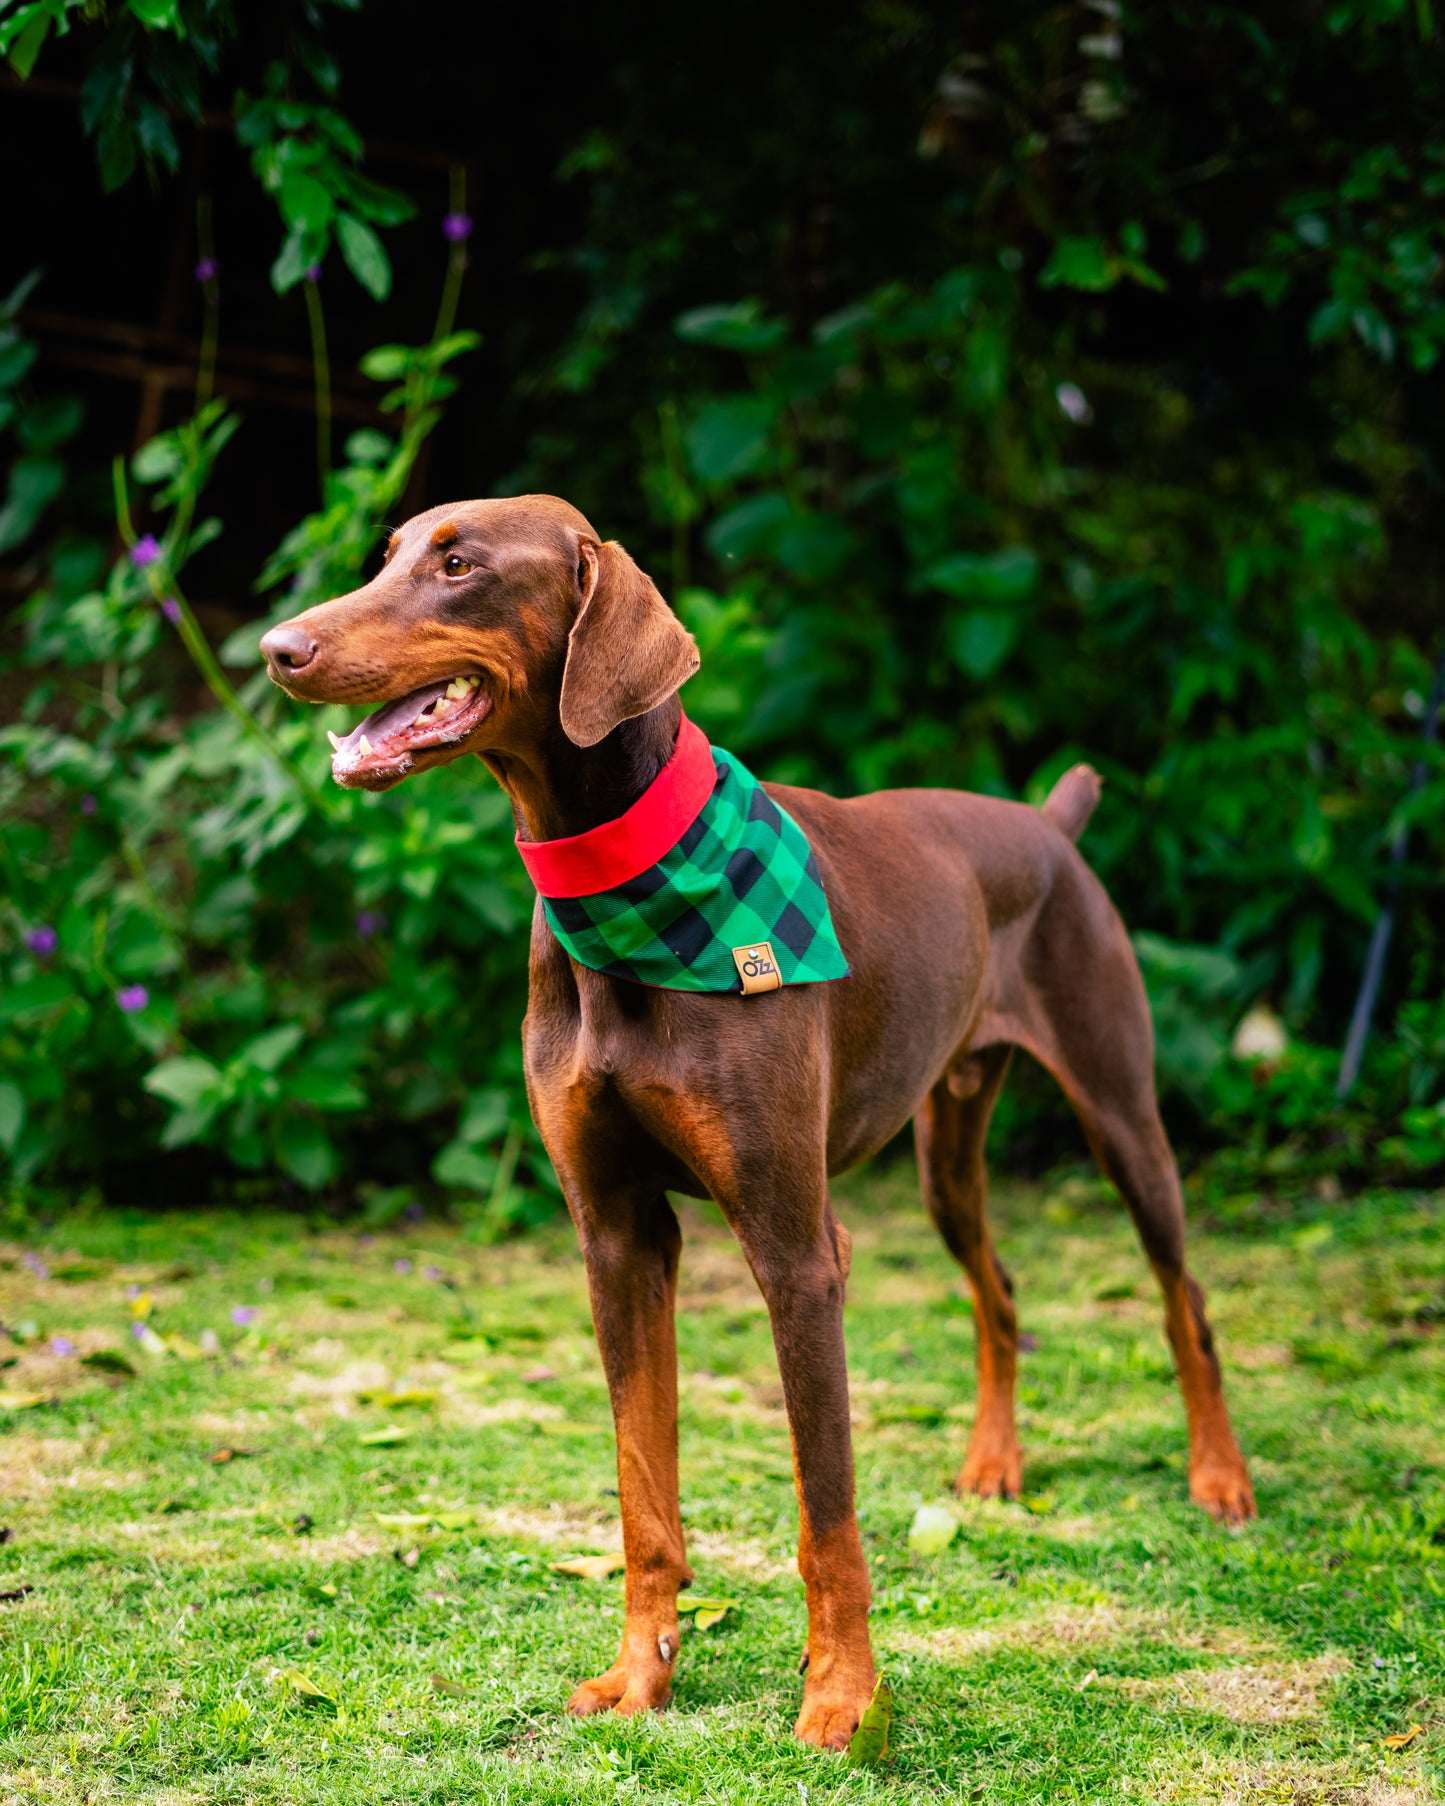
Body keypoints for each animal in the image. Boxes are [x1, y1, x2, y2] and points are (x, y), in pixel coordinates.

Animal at [260, 491, 1249, 1748]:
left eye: (460, 564)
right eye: (387, 554)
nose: (277, 648)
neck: (624, 888)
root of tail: (1048, 827)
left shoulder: (795, 1249)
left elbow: (828, 1513)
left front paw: (842, 1700)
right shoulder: (617, 1236)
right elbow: (642, 1495)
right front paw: (640, 1680)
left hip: (1120, 1111)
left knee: (1184, 1298)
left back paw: (1217, 1479)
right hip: (943, 1153)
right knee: (1000, 1287)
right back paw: (992, 1464)